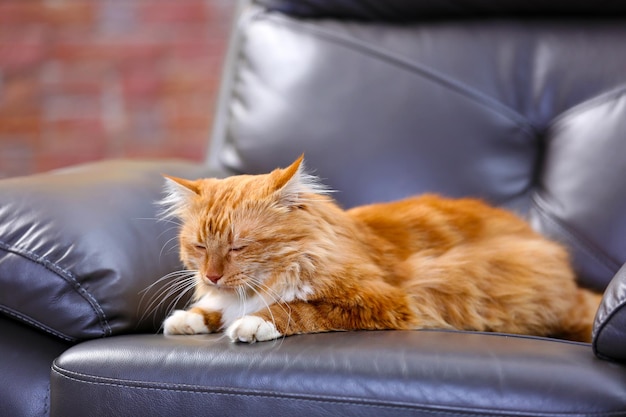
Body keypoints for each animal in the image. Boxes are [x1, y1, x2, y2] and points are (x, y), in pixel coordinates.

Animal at [160, 155, 600, 342]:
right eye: (200, 246)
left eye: (239, 246)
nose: (212, 275)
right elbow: (215, 307)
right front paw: (190, 318)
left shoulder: (382, 301)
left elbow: (294, 308)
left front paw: (251, 323)